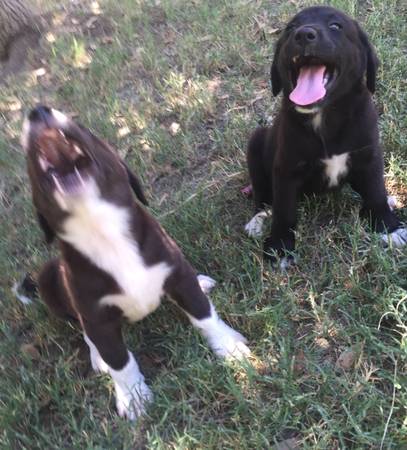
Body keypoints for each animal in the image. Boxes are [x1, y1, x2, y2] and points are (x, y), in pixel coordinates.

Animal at [22, 105, 252, 422]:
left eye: (83, 127)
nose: (37, 110)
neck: (103, 231)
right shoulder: (96, 315)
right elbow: (119, 361)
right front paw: (132, 397)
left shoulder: (176, 270)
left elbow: (204, 314)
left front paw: (230, 348)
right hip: (48, 277)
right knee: (81, 328)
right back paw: (95, 355)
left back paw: (203, 282)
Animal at [245, 6, 407, 264]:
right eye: (290, 29)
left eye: (335, 26)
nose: (302, 35)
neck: (324, 117)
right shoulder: (285, 169)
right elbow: (283, 210)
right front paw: (280, 246)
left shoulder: (369, 155)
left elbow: (375, 191)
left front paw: (388, 227)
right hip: (256, 143)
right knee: (262, 194)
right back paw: (257, 221)